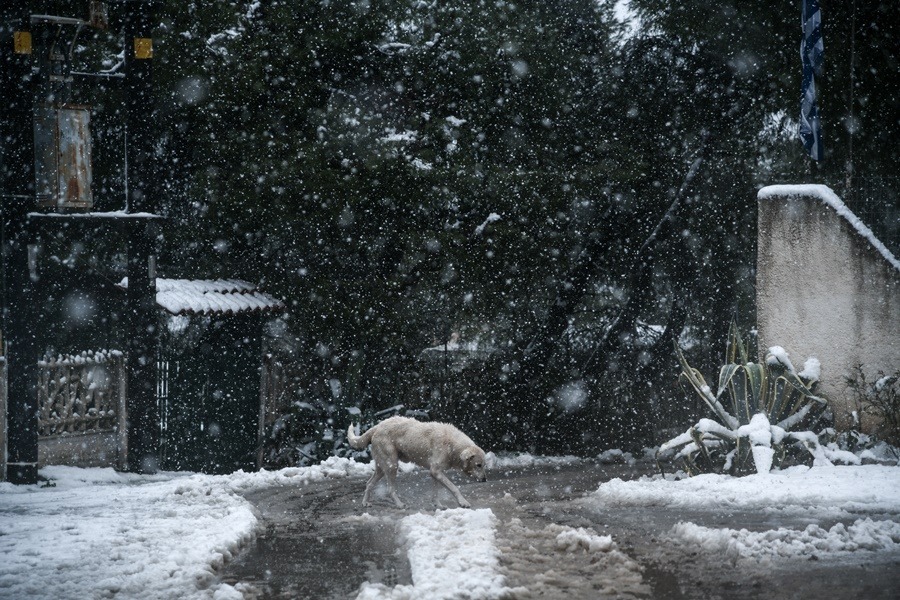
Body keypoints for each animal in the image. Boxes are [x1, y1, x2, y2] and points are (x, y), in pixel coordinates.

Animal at [346, 414, 486, 508]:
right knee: (390, 490)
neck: (452, 445)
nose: (485, 480)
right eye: (478, 465)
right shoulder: (436, 471)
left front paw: (438, 505)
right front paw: (463, 502)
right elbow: (454, 488)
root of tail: (377, 426)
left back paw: (365, 503)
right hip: (392, 465)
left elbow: (436, 492)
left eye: (484, 465)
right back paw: (400, 505)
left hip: (382, 467)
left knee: (369, 483)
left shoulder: (435, 473)